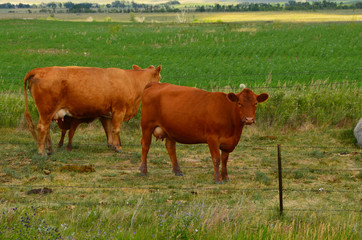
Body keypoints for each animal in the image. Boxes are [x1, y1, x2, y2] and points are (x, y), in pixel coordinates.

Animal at [24, 63, 161, 155]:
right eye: (159, 77)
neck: (131, 81)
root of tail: (41, 69)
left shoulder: (107, 114)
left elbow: (108, 129)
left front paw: (112, 145)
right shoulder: (119, 110)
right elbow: (116, 129)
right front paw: (118, 148)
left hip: (48, 113)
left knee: (46, 129)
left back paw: (50, 149)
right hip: (46, 111)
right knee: (42, 127)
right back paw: (41, 151)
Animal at [139, 82, 268, 184]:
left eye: (255, 103)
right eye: (239, 103)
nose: (249, 119)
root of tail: (156, 84)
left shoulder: (229, 142)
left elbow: (225, 159)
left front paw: (225, 177)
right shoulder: (212, 138)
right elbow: (216, 158)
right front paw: (217, 180)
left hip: (170, 128)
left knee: (170, 147)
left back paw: (178, 171)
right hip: (147, 125)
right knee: (145, 145)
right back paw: (143, 170)